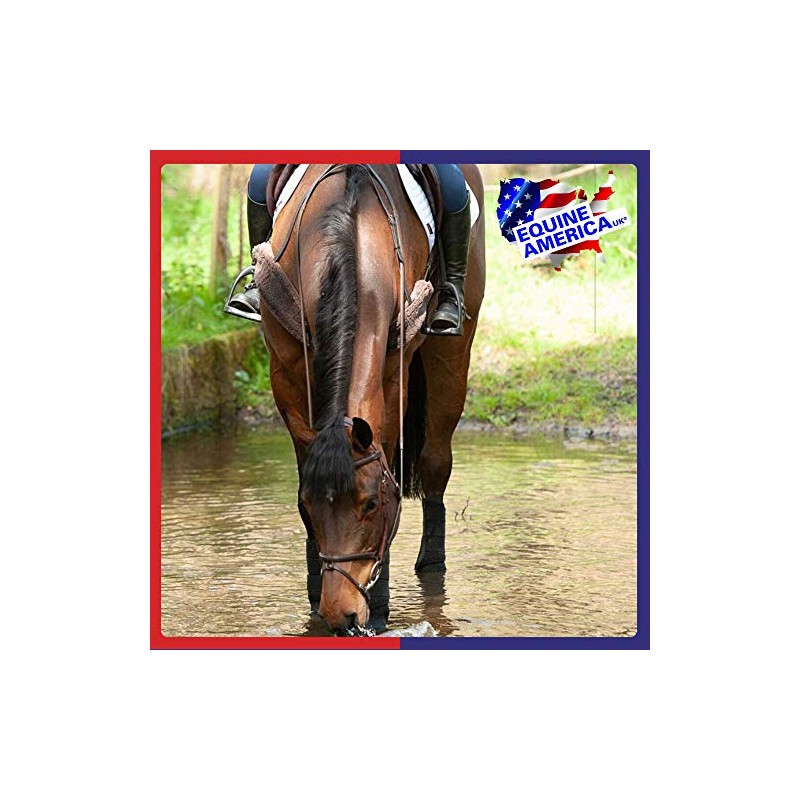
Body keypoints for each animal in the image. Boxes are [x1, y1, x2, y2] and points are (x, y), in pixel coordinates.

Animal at [257, 163, 485, 635]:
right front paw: (315, 593)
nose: (341, 614)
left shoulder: (396, 367)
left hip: (453, 351)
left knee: (436, 461)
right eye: (307, 506)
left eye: (372, 504)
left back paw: (431, 563)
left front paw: (379, 605)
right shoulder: (284, 369)